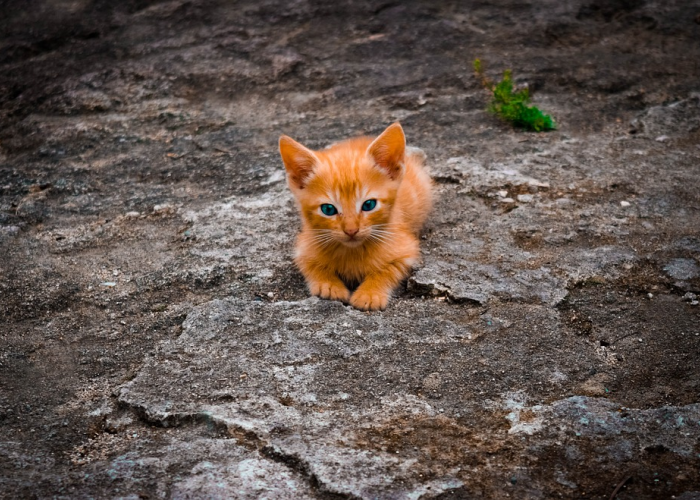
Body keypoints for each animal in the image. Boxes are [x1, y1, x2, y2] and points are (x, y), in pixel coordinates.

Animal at [278, 122, 432, 308]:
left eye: (369, 205)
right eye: (328, 209)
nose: (351, 231)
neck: (352, 251)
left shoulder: (406, 249)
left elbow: (388, 269)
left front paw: (370, 293)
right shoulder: (304, 247)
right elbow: (312, 266)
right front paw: (329, 286)